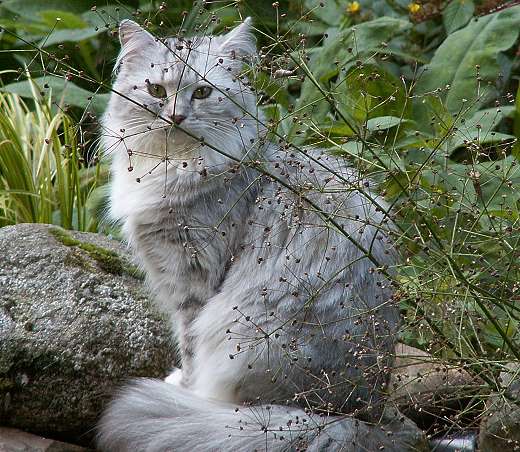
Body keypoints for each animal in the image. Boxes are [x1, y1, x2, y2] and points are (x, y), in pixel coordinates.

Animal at [97, 17, 414, 452]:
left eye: (202, 93)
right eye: (156, 91)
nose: (176, 117)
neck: (173, 165)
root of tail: (355, 415)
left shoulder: (194, 278)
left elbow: (188, 347)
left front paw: (182, 387)